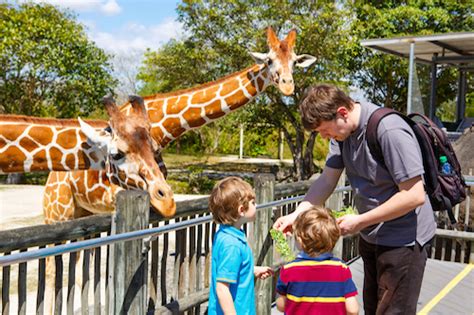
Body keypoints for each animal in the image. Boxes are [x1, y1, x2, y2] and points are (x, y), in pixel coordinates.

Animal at [41, 26, 314, 222]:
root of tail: (52, 178)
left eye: (294, 62)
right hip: (58, 210)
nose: (288, 85)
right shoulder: (122, 193)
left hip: (83, 209)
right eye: (269, 61)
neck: (163, 127)